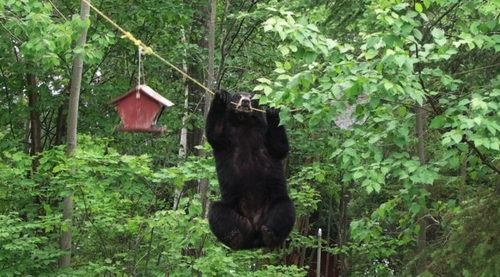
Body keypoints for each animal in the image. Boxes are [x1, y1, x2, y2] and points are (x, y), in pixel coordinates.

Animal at [205, 89, 294, 249]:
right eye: (239, 96)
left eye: (252, 97)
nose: (245, 101)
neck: (244, 122)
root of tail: (255, 237)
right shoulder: (227, 134)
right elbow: (215, 133)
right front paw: (221, 96)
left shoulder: (262, 132)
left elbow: (280, 147)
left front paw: (272, 112)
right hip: (232, 209)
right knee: (217, 212)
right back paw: (235, 237)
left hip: (274, 203)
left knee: (285, 209)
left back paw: (269, 235)